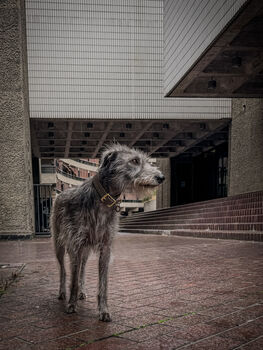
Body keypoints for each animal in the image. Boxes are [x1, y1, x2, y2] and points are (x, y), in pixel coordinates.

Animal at [51, 144, 165, 322]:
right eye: (134, 161)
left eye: (146, 161)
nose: (161, 177)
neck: (103, 199)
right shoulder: (76, 244)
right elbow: (73, 279)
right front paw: (71, 304)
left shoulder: (105, 247)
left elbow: (103, 283)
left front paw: (103, 310)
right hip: (60, 243)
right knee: (63, 269)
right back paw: (63, 292)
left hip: (85, 249)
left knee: (82, 268)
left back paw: (81, 291)